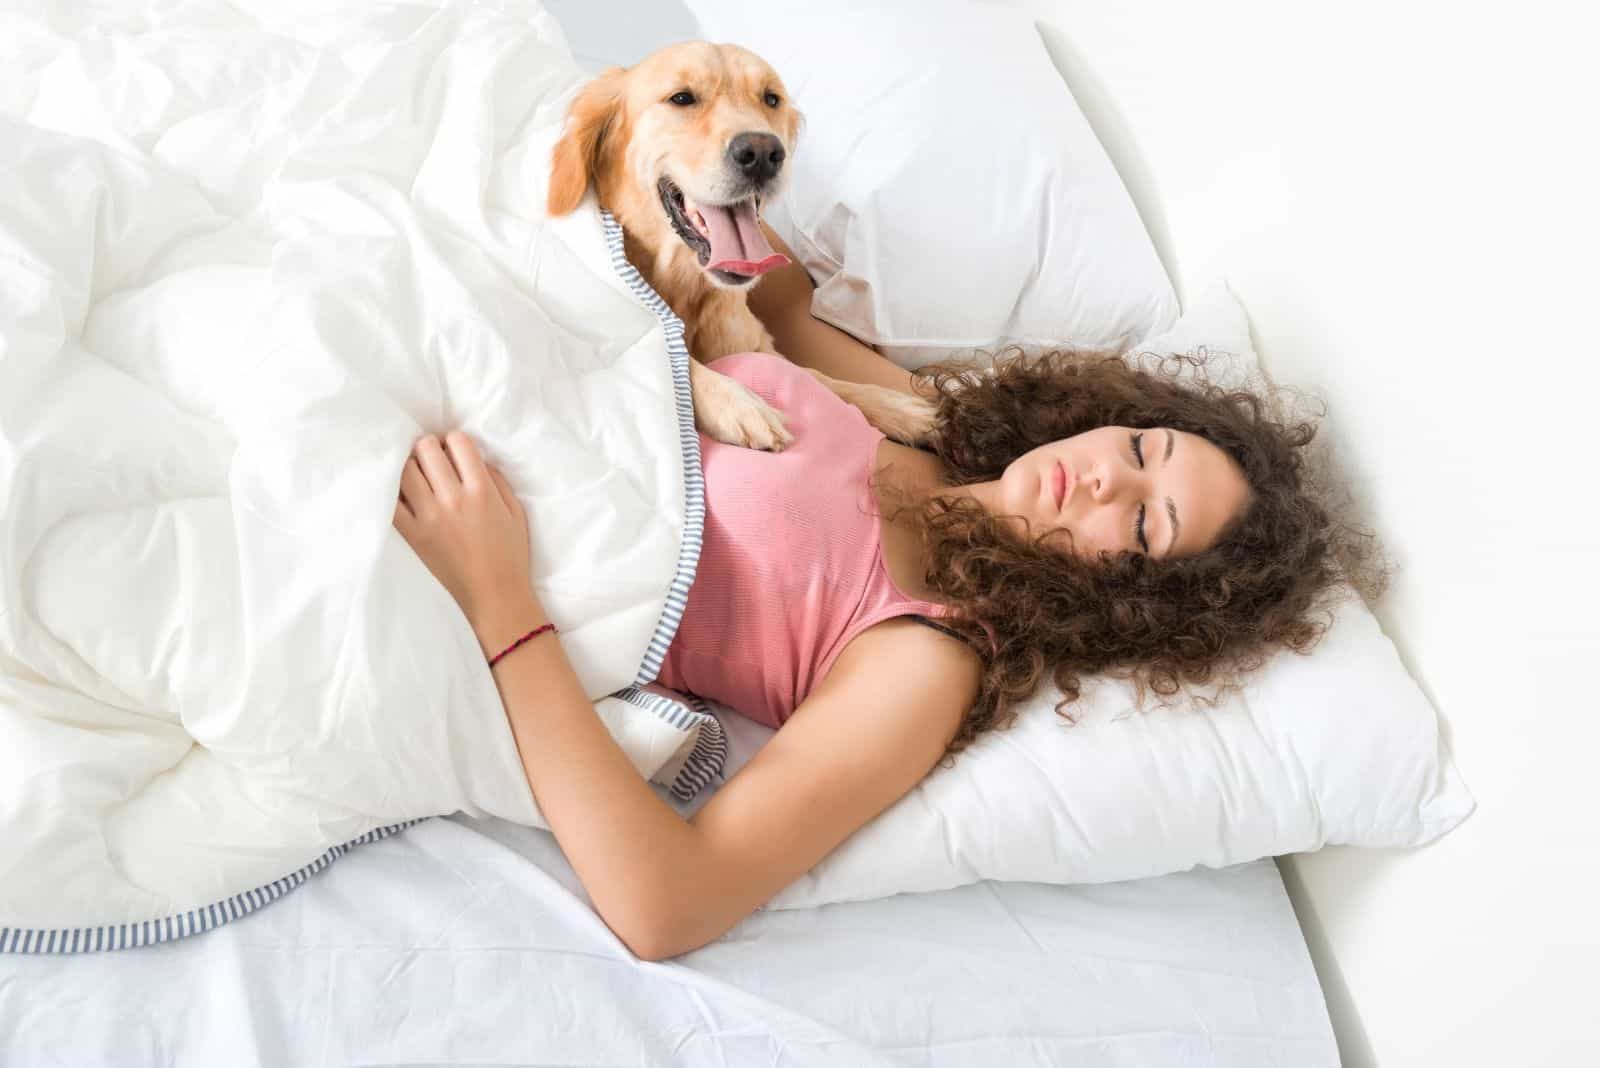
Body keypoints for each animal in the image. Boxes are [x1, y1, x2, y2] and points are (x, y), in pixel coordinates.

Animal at [547, 39, 934, 450]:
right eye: (682, 97)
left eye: (771, 98)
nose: (763, 153)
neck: (686, 289)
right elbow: (677, 365)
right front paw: (736, 402)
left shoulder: (759, 347)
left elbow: (821, 377)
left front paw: (902, 408)